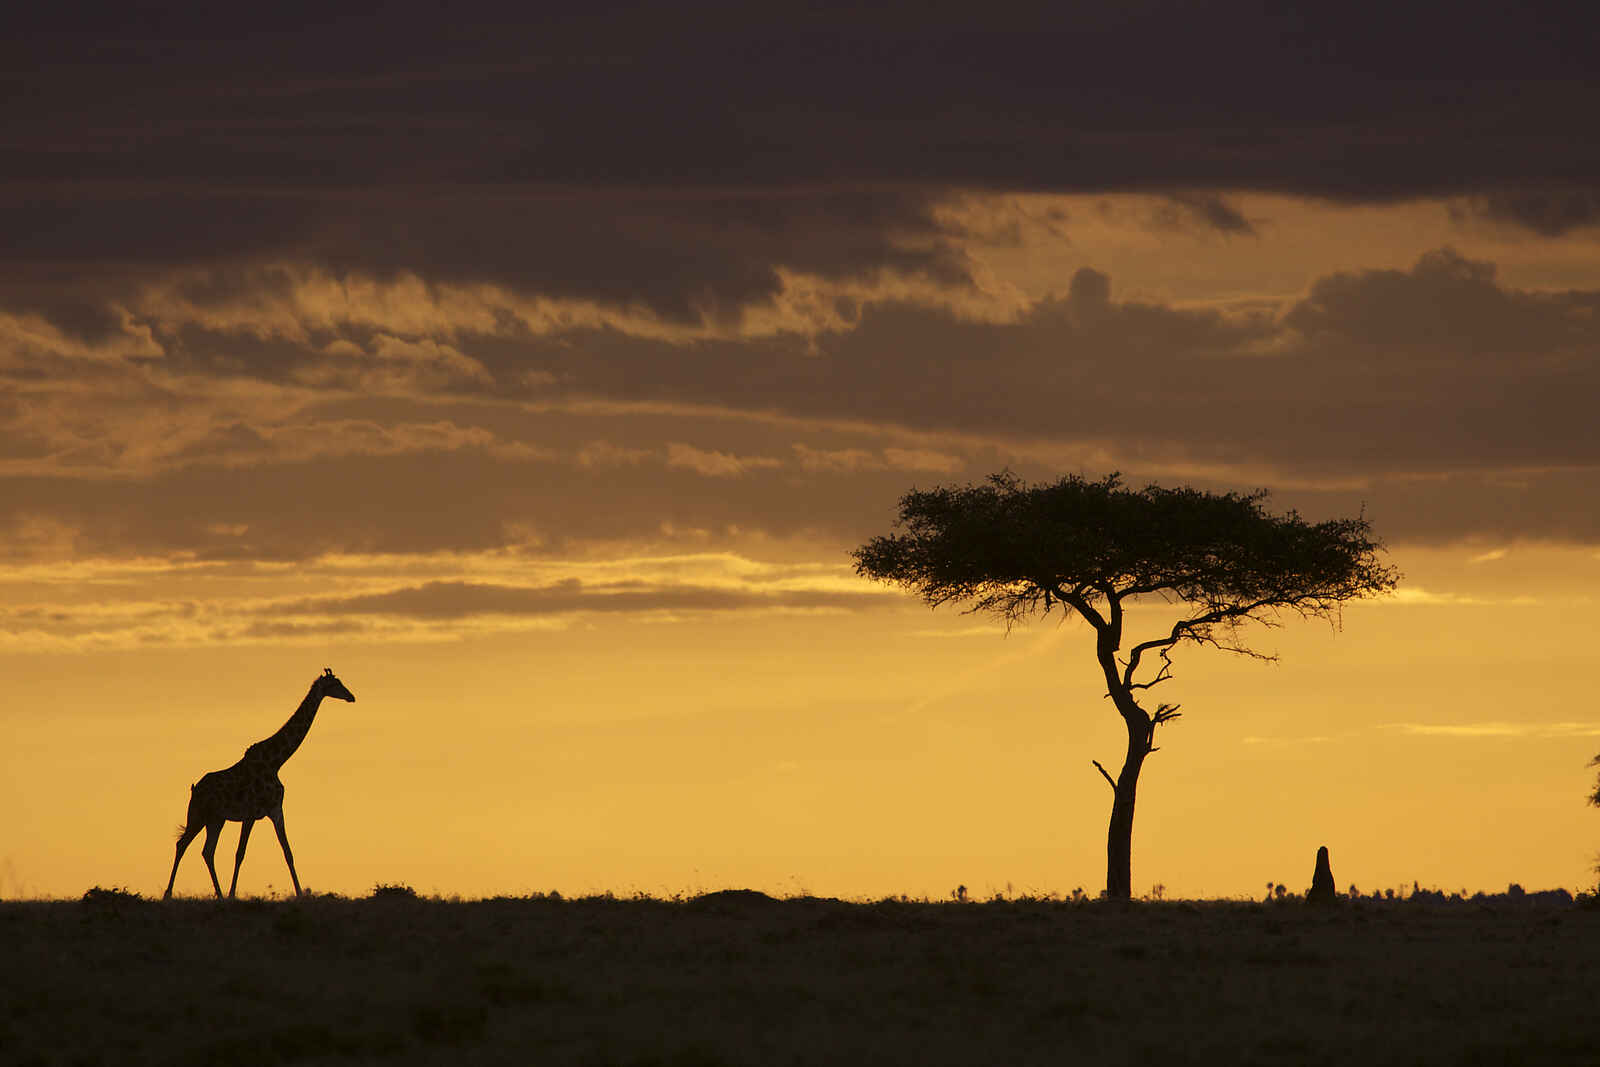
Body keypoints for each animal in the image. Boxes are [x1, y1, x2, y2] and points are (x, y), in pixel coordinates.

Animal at [163, 668, 356, 900]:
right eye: (336, 684)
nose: (351, 697)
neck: (276, 762)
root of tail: (194, 789)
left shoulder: (276, 810)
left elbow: (288, 852)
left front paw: (300, 893)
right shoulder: (250, 813)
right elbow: (240, 853)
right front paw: (232, 894)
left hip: (216, 819)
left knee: (207, 851)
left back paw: (218, 894)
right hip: (198, 815)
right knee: (182, 844)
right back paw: (169, 893)